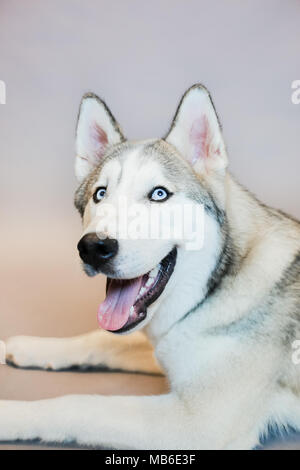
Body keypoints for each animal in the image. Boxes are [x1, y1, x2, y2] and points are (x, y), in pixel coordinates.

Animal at [0, 85, 300, 452]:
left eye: (159, 194)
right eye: (100, 194)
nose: (93, 247)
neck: (216, 287)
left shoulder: (200, 423)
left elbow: (78, 405)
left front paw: (10, 414)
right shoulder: (165, 348)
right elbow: (105, 340)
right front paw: (31, 346)